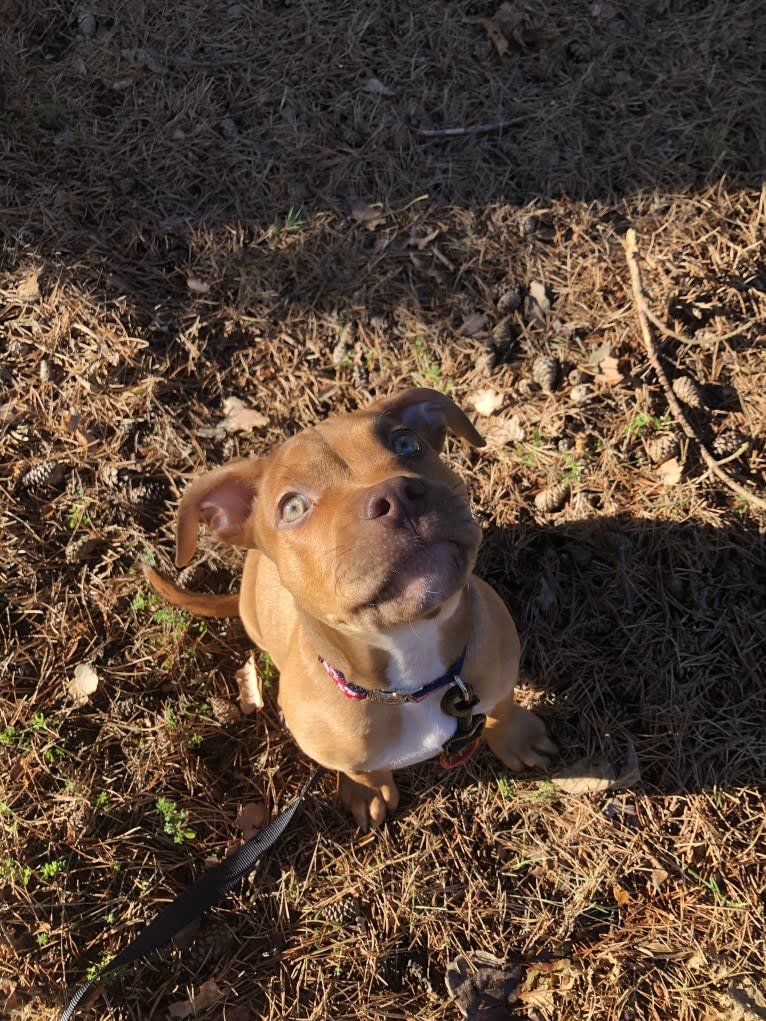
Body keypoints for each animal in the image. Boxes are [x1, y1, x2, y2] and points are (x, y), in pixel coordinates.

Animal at [145, 387, 559, 829]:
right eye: (292, 507)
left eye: (406, 443)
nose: (397, 496)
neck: (410, 673)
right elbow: (358, 768)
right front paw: (368, 789)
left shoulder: (497, 665)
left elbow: (501, 707)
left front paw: (518, 737)